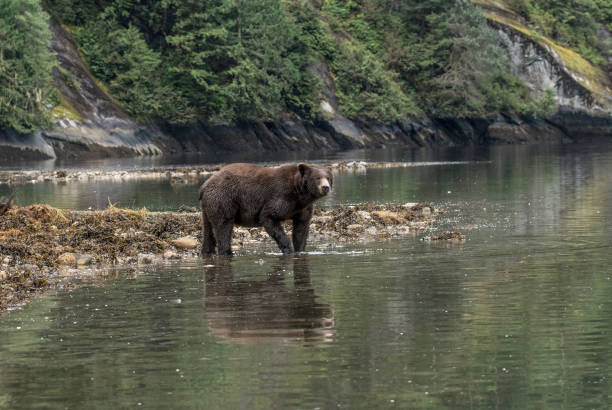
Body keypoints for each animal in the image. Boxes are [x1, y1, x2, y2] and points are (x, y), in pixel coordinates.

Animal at [198, 163, 332, 253]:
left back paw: (206, 251)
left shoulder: (303, 208)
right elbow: (269, 217)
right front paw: (287, 248)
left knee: (208, 231)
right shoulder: (280, 197)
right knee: (224, 227)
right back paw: (227, 251)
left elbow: (301, 229)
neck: (299, 194)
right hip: (224, 199)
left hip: (208, 207)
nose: (325, 187)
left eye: (328, 177)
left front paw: (300, 249)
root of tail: (204, 185)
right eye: (317, 178)